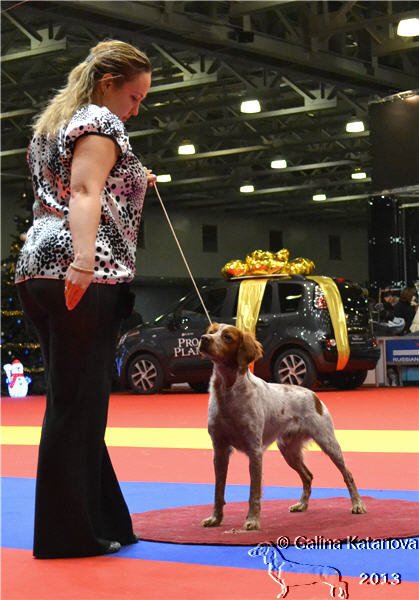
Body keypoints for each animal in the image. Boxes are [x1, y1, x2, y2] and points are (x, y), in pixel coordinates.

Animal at [198, 323, 366, 530]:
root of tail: (314, 395)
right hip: (288, 449)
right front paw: (215, 518)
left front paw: (252, 520)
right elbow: (218, 491)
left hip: (328, 442)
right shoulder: (220, 450)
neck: (228, 392)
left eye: (227, 337)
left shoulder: (254, 451)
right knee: (308, 476)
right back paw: (301, 505)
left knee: (347, 474)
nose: (204, 339)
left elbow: (254, 492)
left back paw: (357, 504)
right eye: (211, 332)